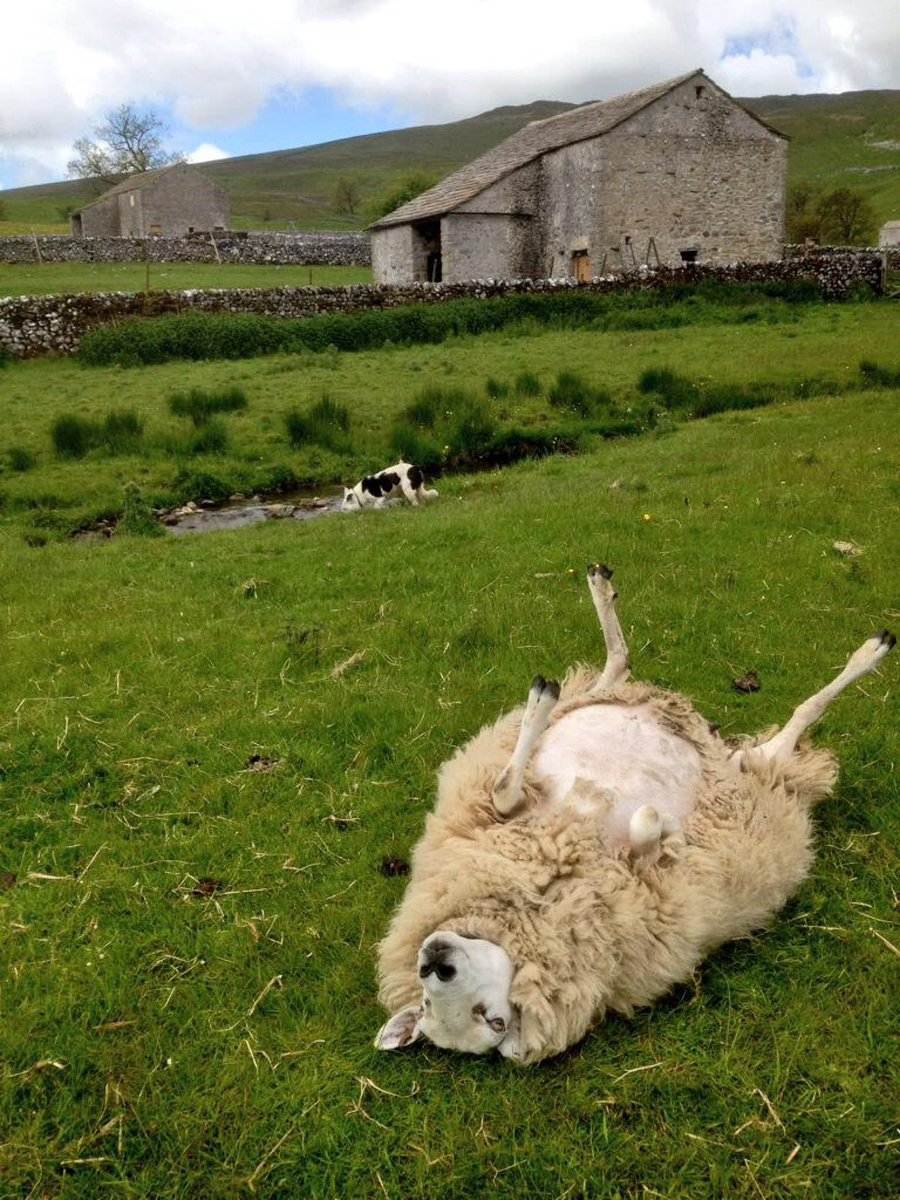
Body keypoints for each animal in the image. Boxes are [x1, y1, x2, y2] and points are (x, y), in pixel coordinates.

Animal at [375, 563, 895, 1063]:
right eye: (493, 1021)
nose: (434, 961)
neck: (551, 889)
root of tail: (717, 745)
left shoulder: (510, 816)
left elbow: (504, 789)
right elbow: (645, 824)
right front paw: (664, 829)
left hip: (622, 711)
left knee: (615, 674)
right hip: (749, 771)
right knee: (792, 720)